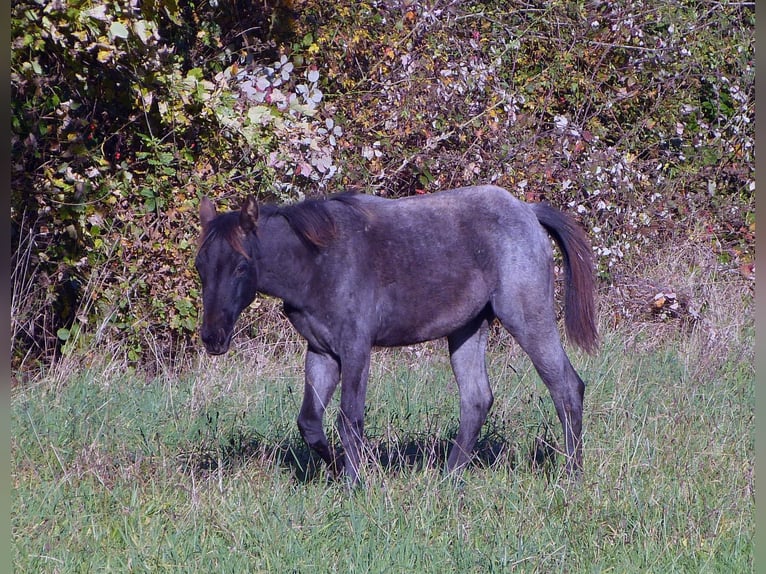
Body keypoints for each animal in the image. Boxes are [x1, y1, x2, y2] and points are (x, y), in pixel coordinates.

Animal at [194, 187, 600, 484]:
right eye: (201, 266)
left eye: (241, 266)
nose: (213, 338)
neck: (317, 262)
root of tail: (528, 211)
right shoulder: (321, 351)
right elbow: (310, 422)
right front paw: (336, 469)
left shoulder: (356, 348)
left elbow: (349, 418)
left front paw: (354, 483)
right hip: (467, 329)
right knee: (476, 399)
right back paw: (448, 479)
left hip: (527, 317)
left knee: (566, 387)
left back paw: (571, 475)